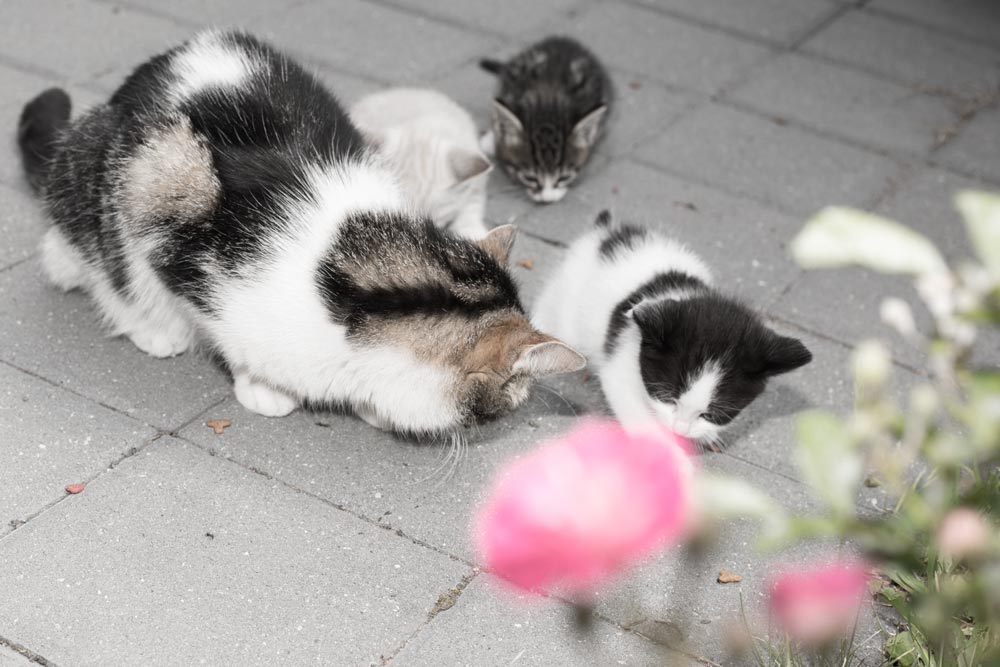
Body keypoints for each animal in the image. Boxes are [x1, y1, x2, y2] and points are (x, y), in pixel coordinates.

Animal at [536, 211, 808, 446]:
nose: (680, 429)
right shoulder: (619, 369)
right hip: (567, 298)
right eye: (669, 399)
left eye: (710, 414)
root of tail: (605, 233)